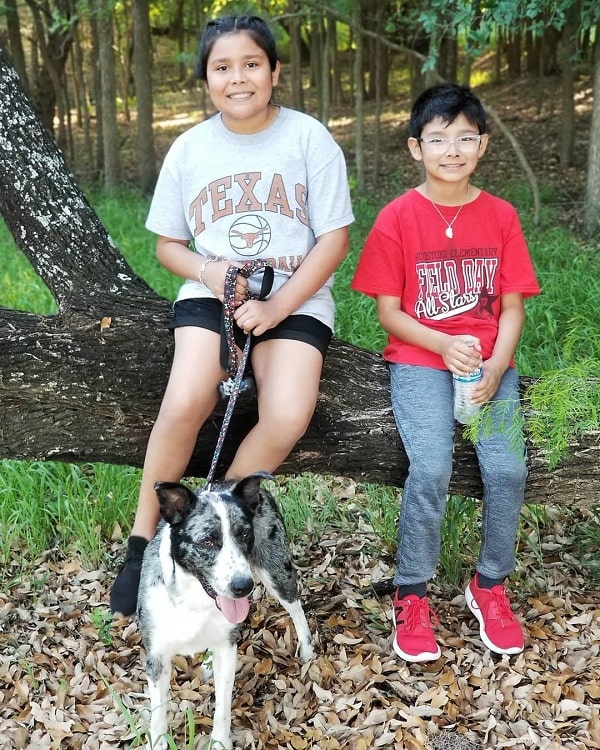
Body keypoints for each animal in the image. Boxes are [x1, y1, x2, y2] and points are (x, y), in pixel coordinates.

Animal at [136, 472, 314, 748]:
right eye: (208, 541)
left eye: (245, 535)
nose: (243, 586)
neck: (194, 599)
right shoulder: (156, 657)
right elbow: (158, 714)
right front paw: (158, 742)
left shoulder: (228, 650)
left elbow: (222, 708)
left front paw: (220, 741)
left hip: (276, 571)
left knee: (295, 607)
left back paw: (307, 649)